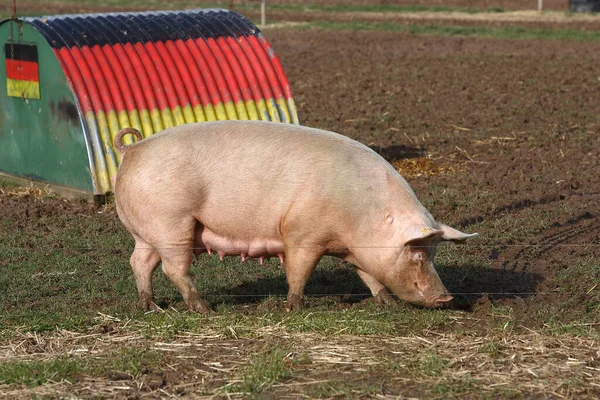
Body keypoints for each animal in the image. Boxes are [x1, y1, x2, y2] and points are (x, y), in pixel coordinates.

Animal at [113, 120, 478, 314]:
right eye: (417, 253)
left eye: (434, 252)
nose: (446, 296)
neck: (363, 216)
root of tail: (131, 149)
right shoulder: (302, 234)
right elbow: (299, 272)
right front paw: (293, 308)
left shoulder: (357, 250)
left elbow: (369, 276)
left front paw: (387, 304)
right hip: (172, 222)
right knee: (174, 268)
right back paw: (204, 309)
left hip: (147, 231)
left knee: (139, 262)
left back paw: (149, 306)